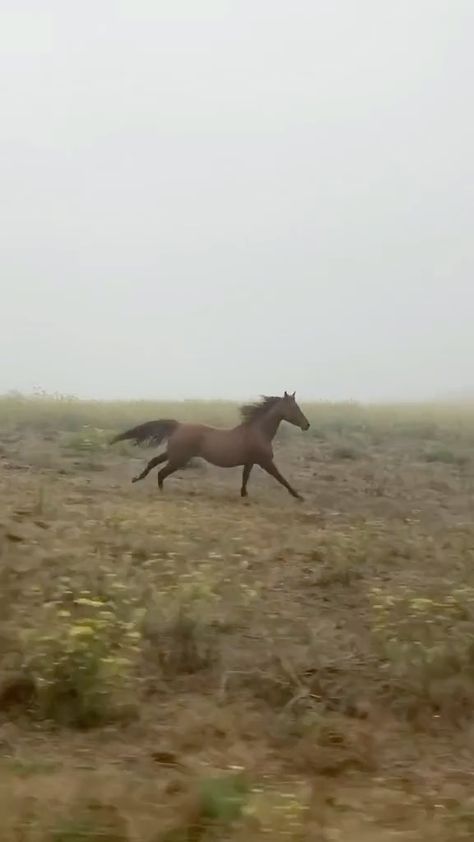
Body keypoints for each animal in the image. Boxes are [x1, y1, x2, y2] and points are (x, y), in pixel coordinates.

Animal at [111, 392, 312, 502]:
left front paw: (244, 495)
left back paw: (137, 479)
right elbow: (282, 479)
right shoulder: (265, 462)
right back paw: (160, 491)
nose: (307, 425)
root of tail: (179, 425)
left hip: (174, 454)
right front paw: (299, 496)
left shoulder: (250, 462)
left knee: (153, 462)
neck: (258, 432)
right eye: (294, 407)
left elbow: (245, 478)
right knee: (161, 472)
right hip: (179, 458)